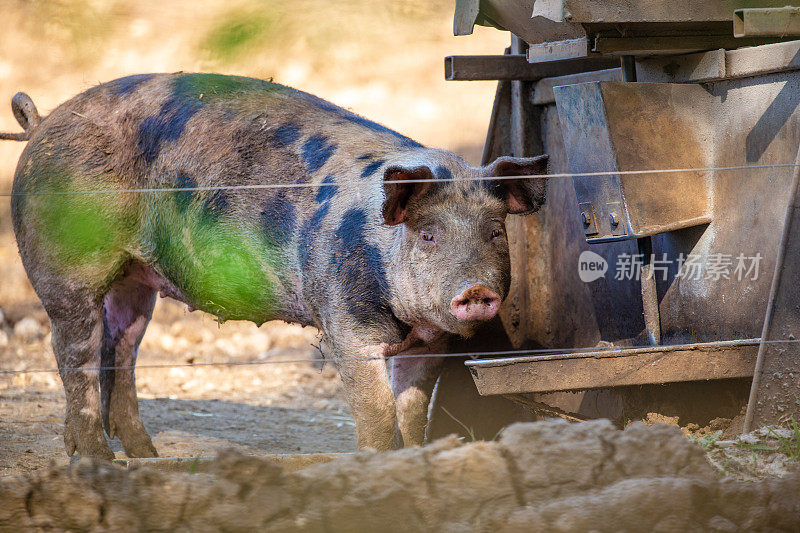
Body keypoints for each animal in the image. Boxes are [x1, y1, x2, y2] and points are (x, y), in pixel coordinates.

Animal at [3, 72, 548, 460]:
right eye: (429, 234)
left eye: (494, 232)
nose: (476, 291)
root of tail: (41, 124)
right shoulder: (347, 329)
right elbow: (376, 415)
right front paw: (378, 461)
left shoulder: (431, 344)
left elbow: (412, 413)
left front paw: (416, 458)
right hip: (65, 267)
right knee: (73, 354)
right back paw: (98, 460)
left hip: (137, 281)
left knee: (121, 348)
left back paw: (146, 456)